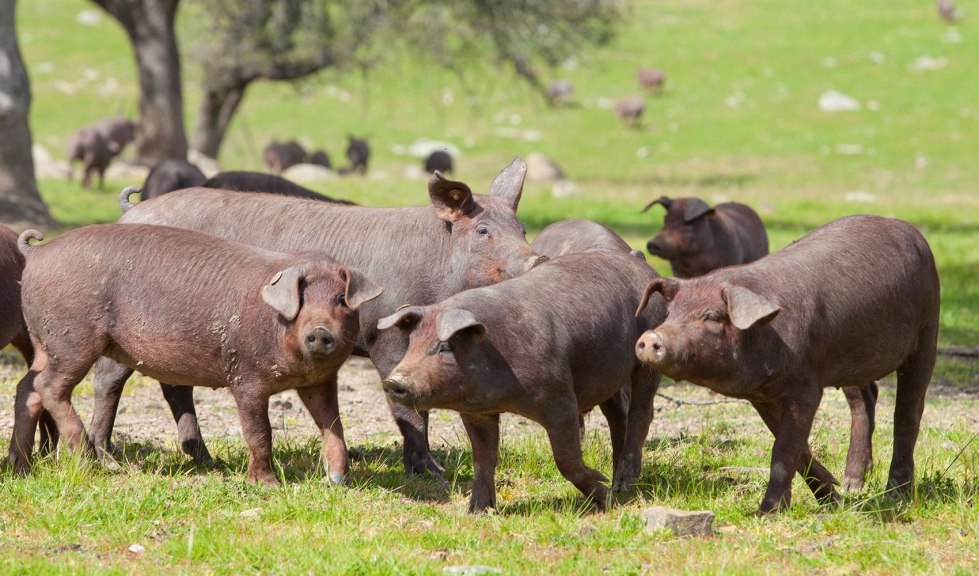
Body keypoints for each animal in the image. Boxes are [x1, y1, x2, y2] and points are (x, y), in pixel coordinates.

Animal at [16, 223, 382, 484]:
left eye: (341, 300)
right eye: (302, 299)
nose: (319, 331)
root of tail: (37, 252)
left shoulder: (321, 380)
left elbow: (334, 425)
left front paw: (338, 481)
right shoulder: (245, 375)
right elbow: (259, 432)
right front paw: (267, 485)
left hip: (44, 342)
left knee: (27, 388)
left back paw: (23, 466)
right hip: (71, 336)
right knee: (49, 387)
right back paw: (87, 462)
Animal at [87, 158, 544, 476]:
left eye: (522, 228)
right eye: (483, 231)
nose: (537, 258)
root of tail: (132, 210)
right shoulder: (386, 335)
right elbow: (408, 409)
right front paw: (433, 474)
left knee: (175, 387)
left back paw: (206, 460)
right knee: (109, 380)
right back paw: (106, 459)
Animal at [376, 250, 668, 510]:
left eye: (445, 347)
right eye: (412, 343)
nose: (394, 382)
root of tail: (638, 261)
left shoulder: (559, 398)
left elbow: (566, 460)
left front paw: (604, 496)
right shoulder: (476, 413)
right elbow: (483, 459)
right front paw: (477, 511)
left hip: (647, 356)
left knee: (642, 413)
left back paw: (622, 481)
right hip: (607, 375)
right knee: (618, 414)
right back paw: (620, 484)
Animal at [636, 215, 940, 512]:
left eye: (710, 316)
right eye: (671, 313)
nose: (651, 337)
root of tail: (910, 230)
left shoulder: (805, 387)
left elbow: (783, 450)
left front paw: (766, 513)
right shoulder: (760, 395)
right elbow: (796, 447)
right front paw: (834, 501)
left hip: (928, 329)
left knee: (908, 411)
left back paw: (895, 496)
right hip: (850, 357)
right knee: (864, 400)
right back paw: (852, 486)